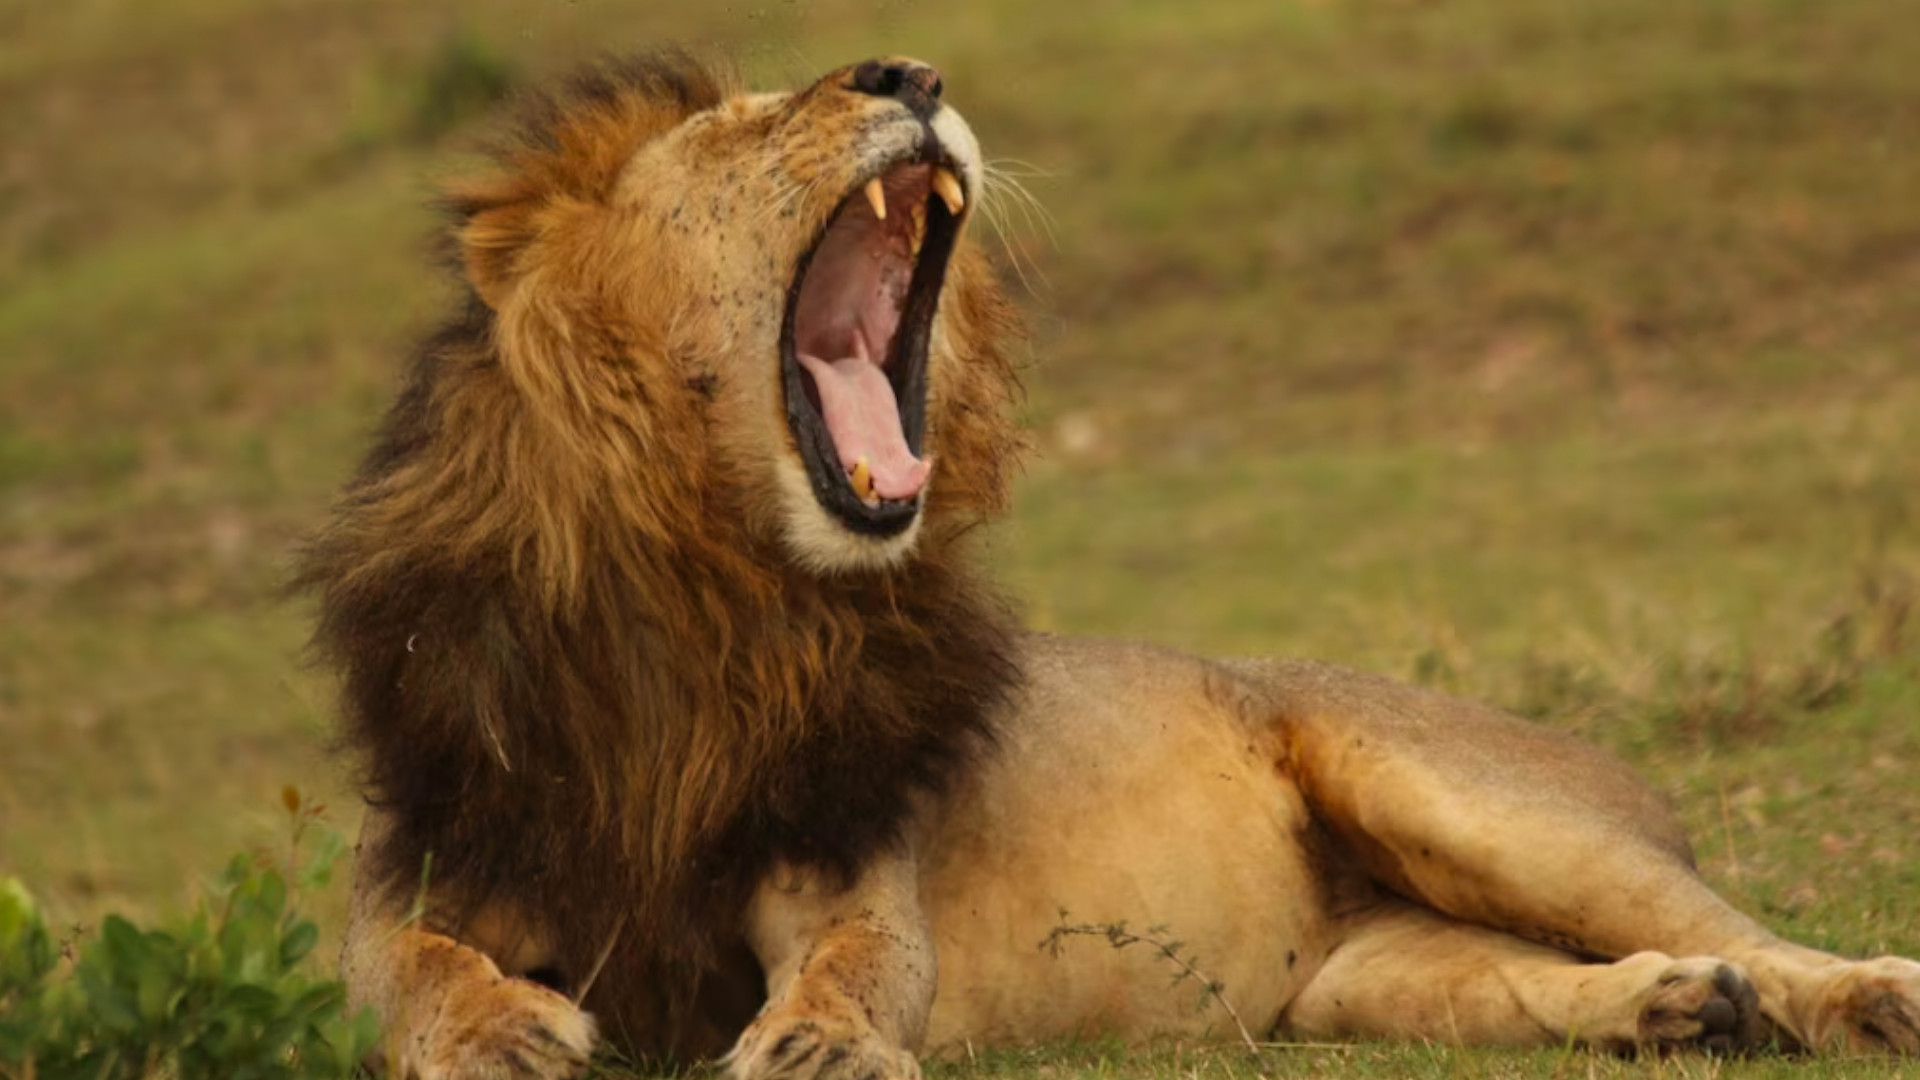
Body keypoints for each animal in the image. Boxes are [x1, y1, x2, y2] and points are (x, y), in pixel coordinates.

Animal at [296, 52, 1920, 1079]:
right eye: (737, 132)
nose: (911, 75)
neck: (712, 587)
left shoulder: (849, 855)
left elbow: (860, 958)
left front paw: (820, 1042)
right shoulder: (437, 845)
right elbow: (404, 964)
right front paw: (497, 1030)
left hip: (1473, 800)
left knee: (1743, 929)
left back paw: (1858, 998)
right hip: (1375, 974)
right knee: (1533, 978)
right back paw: (1676, 1013)